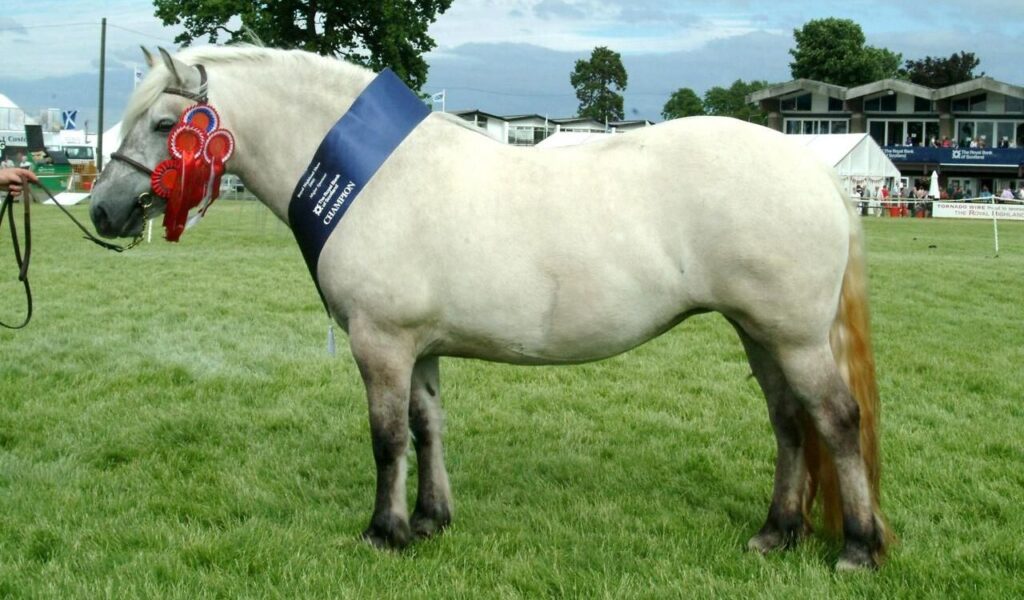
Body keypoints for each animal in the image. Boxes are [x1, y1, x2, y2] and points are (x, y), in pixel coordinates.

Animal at [90, 46, 889, 569]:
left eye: (164, 126)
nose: (103, 210)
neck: (373, 177)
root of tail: (817, 174)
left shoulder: (381, 343)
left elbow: (387, 439)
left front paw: (383, 533)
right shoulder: (419, 348)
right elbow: (428, 428)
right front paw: (430, 521)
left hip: (794, 338)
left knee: (835, 421)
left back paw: (857, 547)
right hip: (760, 334)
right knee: (789, 424)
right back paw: (776, 532)